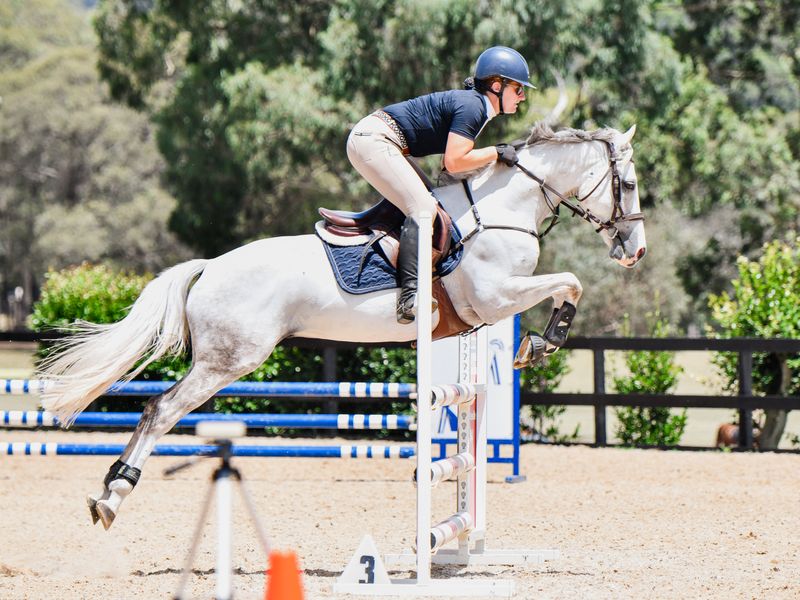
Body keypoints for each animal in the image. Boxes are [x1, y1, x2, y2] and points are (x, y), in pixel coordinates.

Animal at [37, 122, 647, 529]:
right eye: (630, 185)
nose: (634, 251)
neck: (502, 210)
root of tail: (210, 266)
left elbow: (569, 284)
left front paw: (539, 343)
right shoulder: (493, 299)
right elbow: (571, 282)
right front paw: (542, 343)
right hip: (229, 360)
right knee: (159, 409)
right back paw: (111, 496)